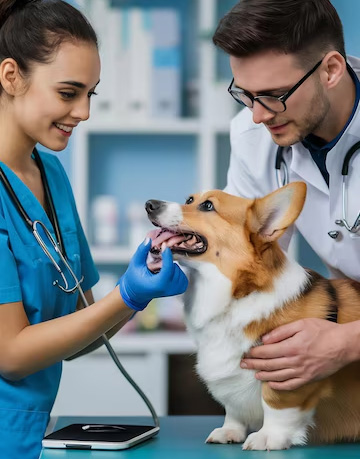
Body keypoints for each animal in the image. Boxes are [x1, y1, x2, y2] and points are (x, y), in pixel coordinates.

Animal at [145, 181, 360, 452]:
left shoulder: (288, 370)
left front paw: (269, 437)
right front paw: (230, 430)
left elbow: (275, 403)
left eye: (208, 206)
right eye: (190, 200)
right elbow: (233, 406)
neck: (237, 294)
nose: (149, 204)